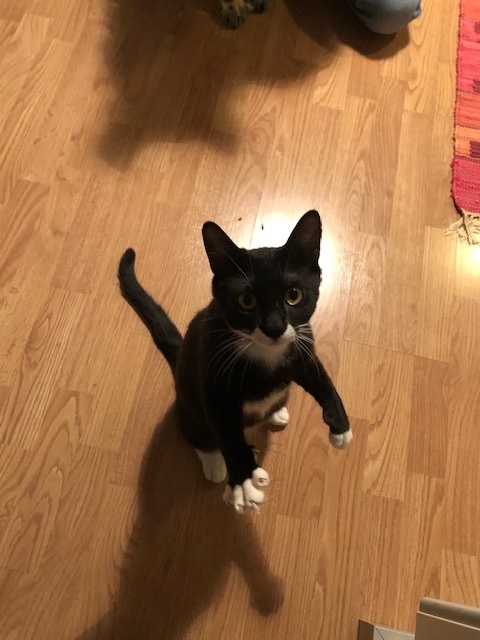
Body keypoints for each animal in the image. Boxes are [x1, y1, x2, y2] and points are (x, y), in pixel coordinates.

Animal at [118, 210, 352, 513]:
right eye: (246, 301)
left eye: (294, 295)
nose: (274, 328)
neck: (264, 353)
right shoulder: (212, 375)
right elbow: (226, 431)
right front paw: (243, 480)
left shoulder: (302, 345)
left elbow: (321, 379)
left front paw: (340, 426)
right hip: (189, 406)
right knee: (199, 434)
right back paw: (215, 464)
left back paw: (276, 411)